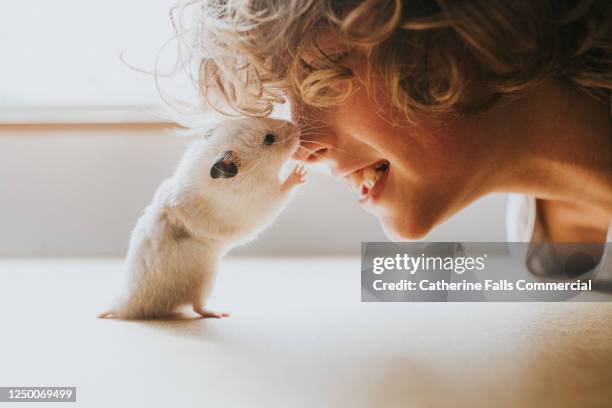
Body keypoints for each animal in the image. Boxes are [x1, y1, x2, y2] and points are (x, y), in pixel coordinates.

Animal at [98, 116, 306, 320]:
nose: (297, 128)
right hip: (205, 279)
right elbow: (282, 191)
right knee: (198, 307)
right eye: (269, 139)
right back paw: (219, 312)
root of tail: (124, 307)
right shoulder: (262, 199)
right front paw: (300, 172)